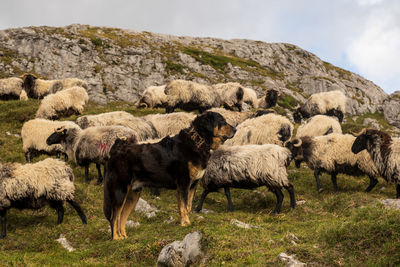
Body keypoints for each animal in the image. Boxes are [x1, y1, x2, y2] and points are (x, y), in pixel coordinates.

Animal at [104, 111, 234, 241]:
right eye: (222, 121)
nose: (235, 129)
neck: (197, 142)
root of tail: (115, 153)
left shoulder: (192, 185)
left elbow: (188, 206)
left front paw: (185, 222)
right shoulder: (184, 183)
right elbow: (183, 206)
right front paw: (186, 223)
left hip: (133, 194)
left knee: (122, 216)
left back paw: (124, 236)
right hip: (120, 190)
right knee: (114, 216)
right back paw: (116, 238)